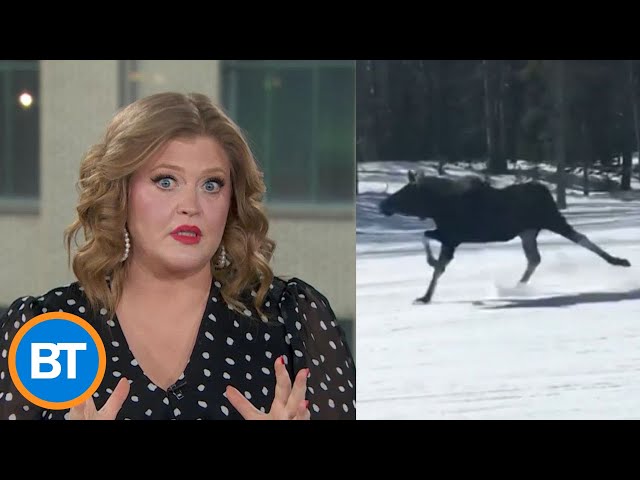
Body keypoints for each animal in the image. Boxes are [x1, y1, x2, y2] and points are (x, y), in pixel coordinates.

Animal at [378, 170, 632, 304]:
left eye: (405, 192)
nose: (383, 205)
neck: (435, 206)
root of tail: (546, 192)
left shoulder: (452, 236)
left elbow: (429, 247)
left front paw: (429, 271)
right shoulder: (450, 239)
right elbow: (438, 265)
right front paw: (425, 296)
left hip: (552, 220)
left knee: (581, 238)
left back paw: (619, 261)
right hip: (527, 231)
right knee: (534, 258)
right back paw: (517, 287)